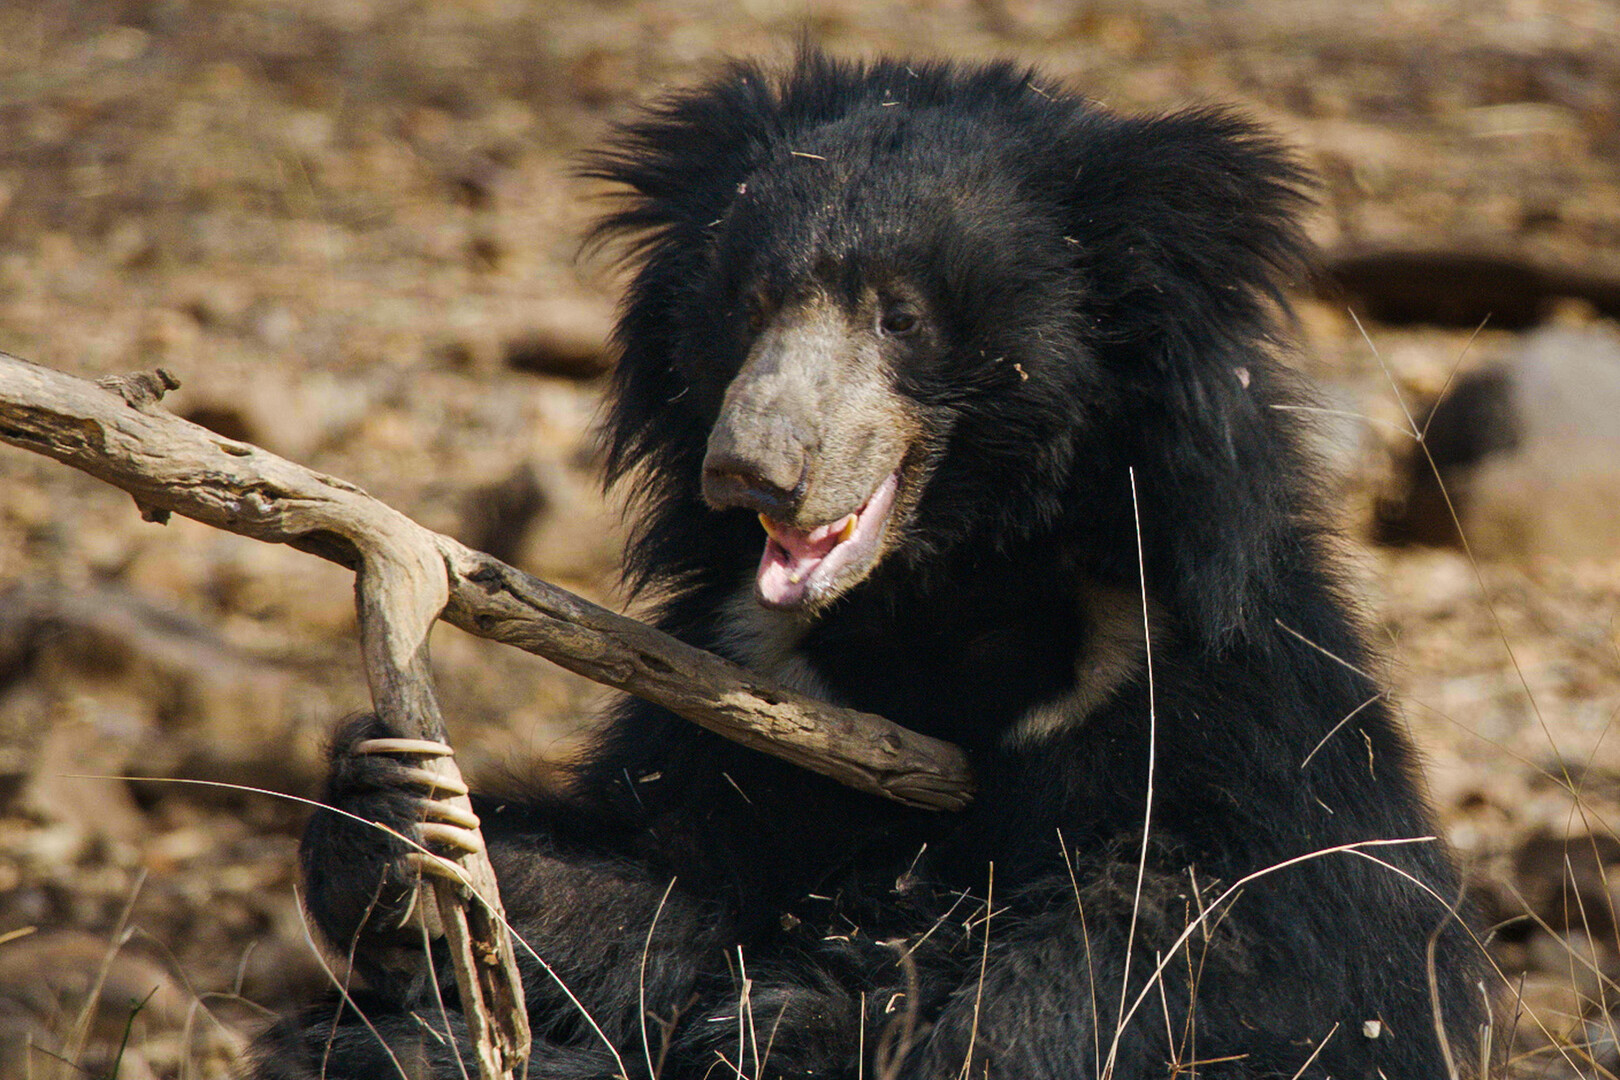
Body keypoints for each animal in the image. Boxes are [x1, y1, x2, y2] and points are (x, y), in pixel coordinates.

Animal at [254, 49, 1483, 1080]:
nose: (751, 470)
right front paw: (395, 820)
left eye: (900, 317)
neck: (950, 599)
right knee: (372, 1050)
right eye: (751, 303)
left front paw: (873, 1020)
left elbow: (1229, 947)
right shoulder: (751, 680)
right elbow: (666, 884)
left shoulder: (1201, 682)